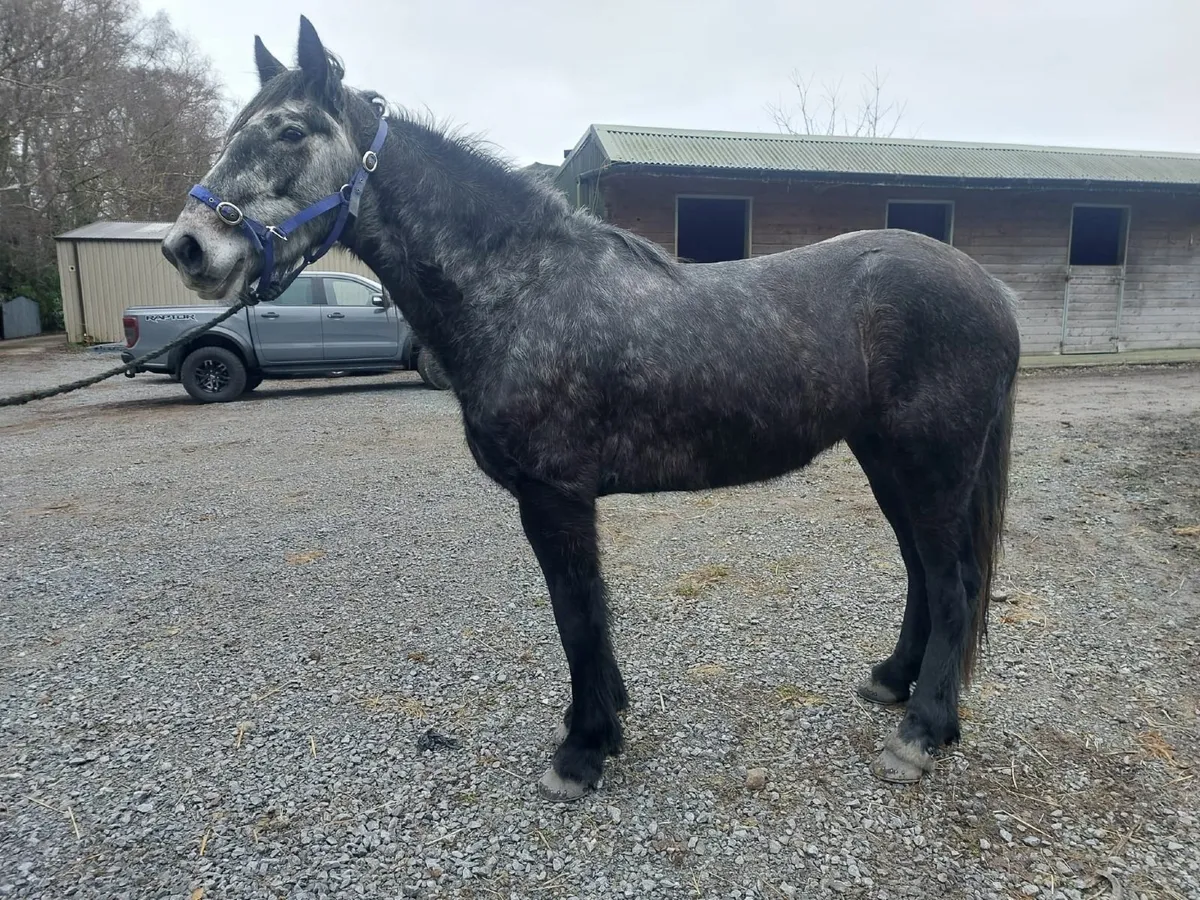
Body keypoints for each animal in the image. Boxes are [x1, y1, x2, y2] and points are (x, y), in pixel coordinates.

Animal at [160, 16, 1022, 802]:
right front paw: (604, 725)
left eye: (289, 130)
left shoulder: (555, 498)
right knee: (922, 574)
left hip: (931, 466)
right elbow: (588, 620)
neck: (522, 290)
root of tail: (987, 290)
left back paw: (921, 733)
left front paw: (580, 752)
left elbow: (577, 617)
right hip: (888, 461)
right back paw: (895, 684)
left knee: (954, 582)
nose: (188, 247)